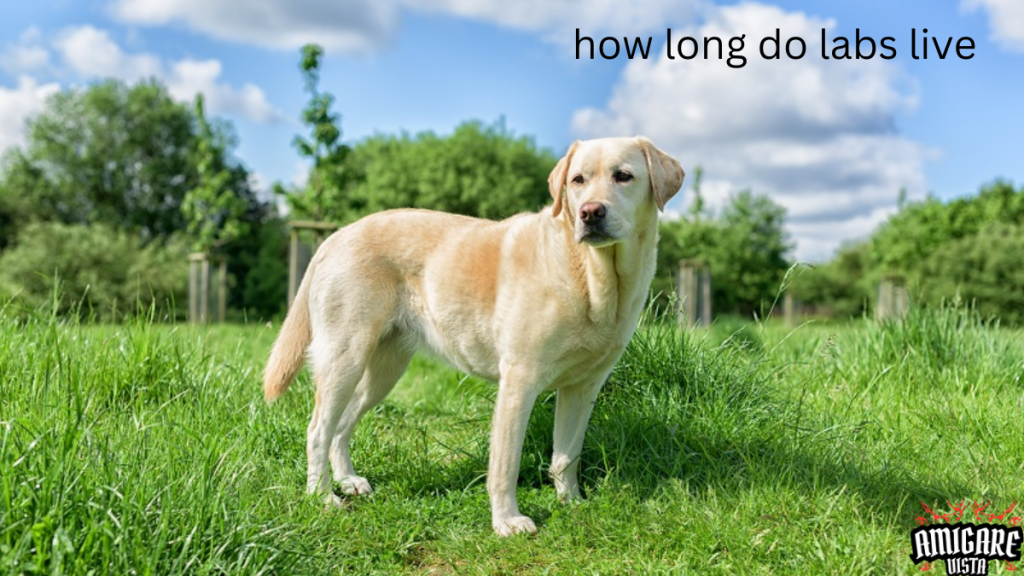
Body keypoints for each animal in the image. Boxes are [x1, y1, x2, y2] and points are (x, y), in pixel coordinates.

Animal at [260, 134, 684, 532]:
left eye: (623, 176)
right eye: (577, 180)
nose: (590, 213)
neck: (593, 277)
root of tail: (334, 236)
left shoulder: (583, 388)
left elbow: (566, 455)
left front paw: (572, 504)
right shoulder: (519, 381)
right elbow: (506, 464)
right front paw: (507, 521)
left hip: (383, 371)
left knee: (341, 426)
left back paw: (348, 480)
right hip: (344, 358)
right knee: (318, 429)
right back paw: (322, 495)